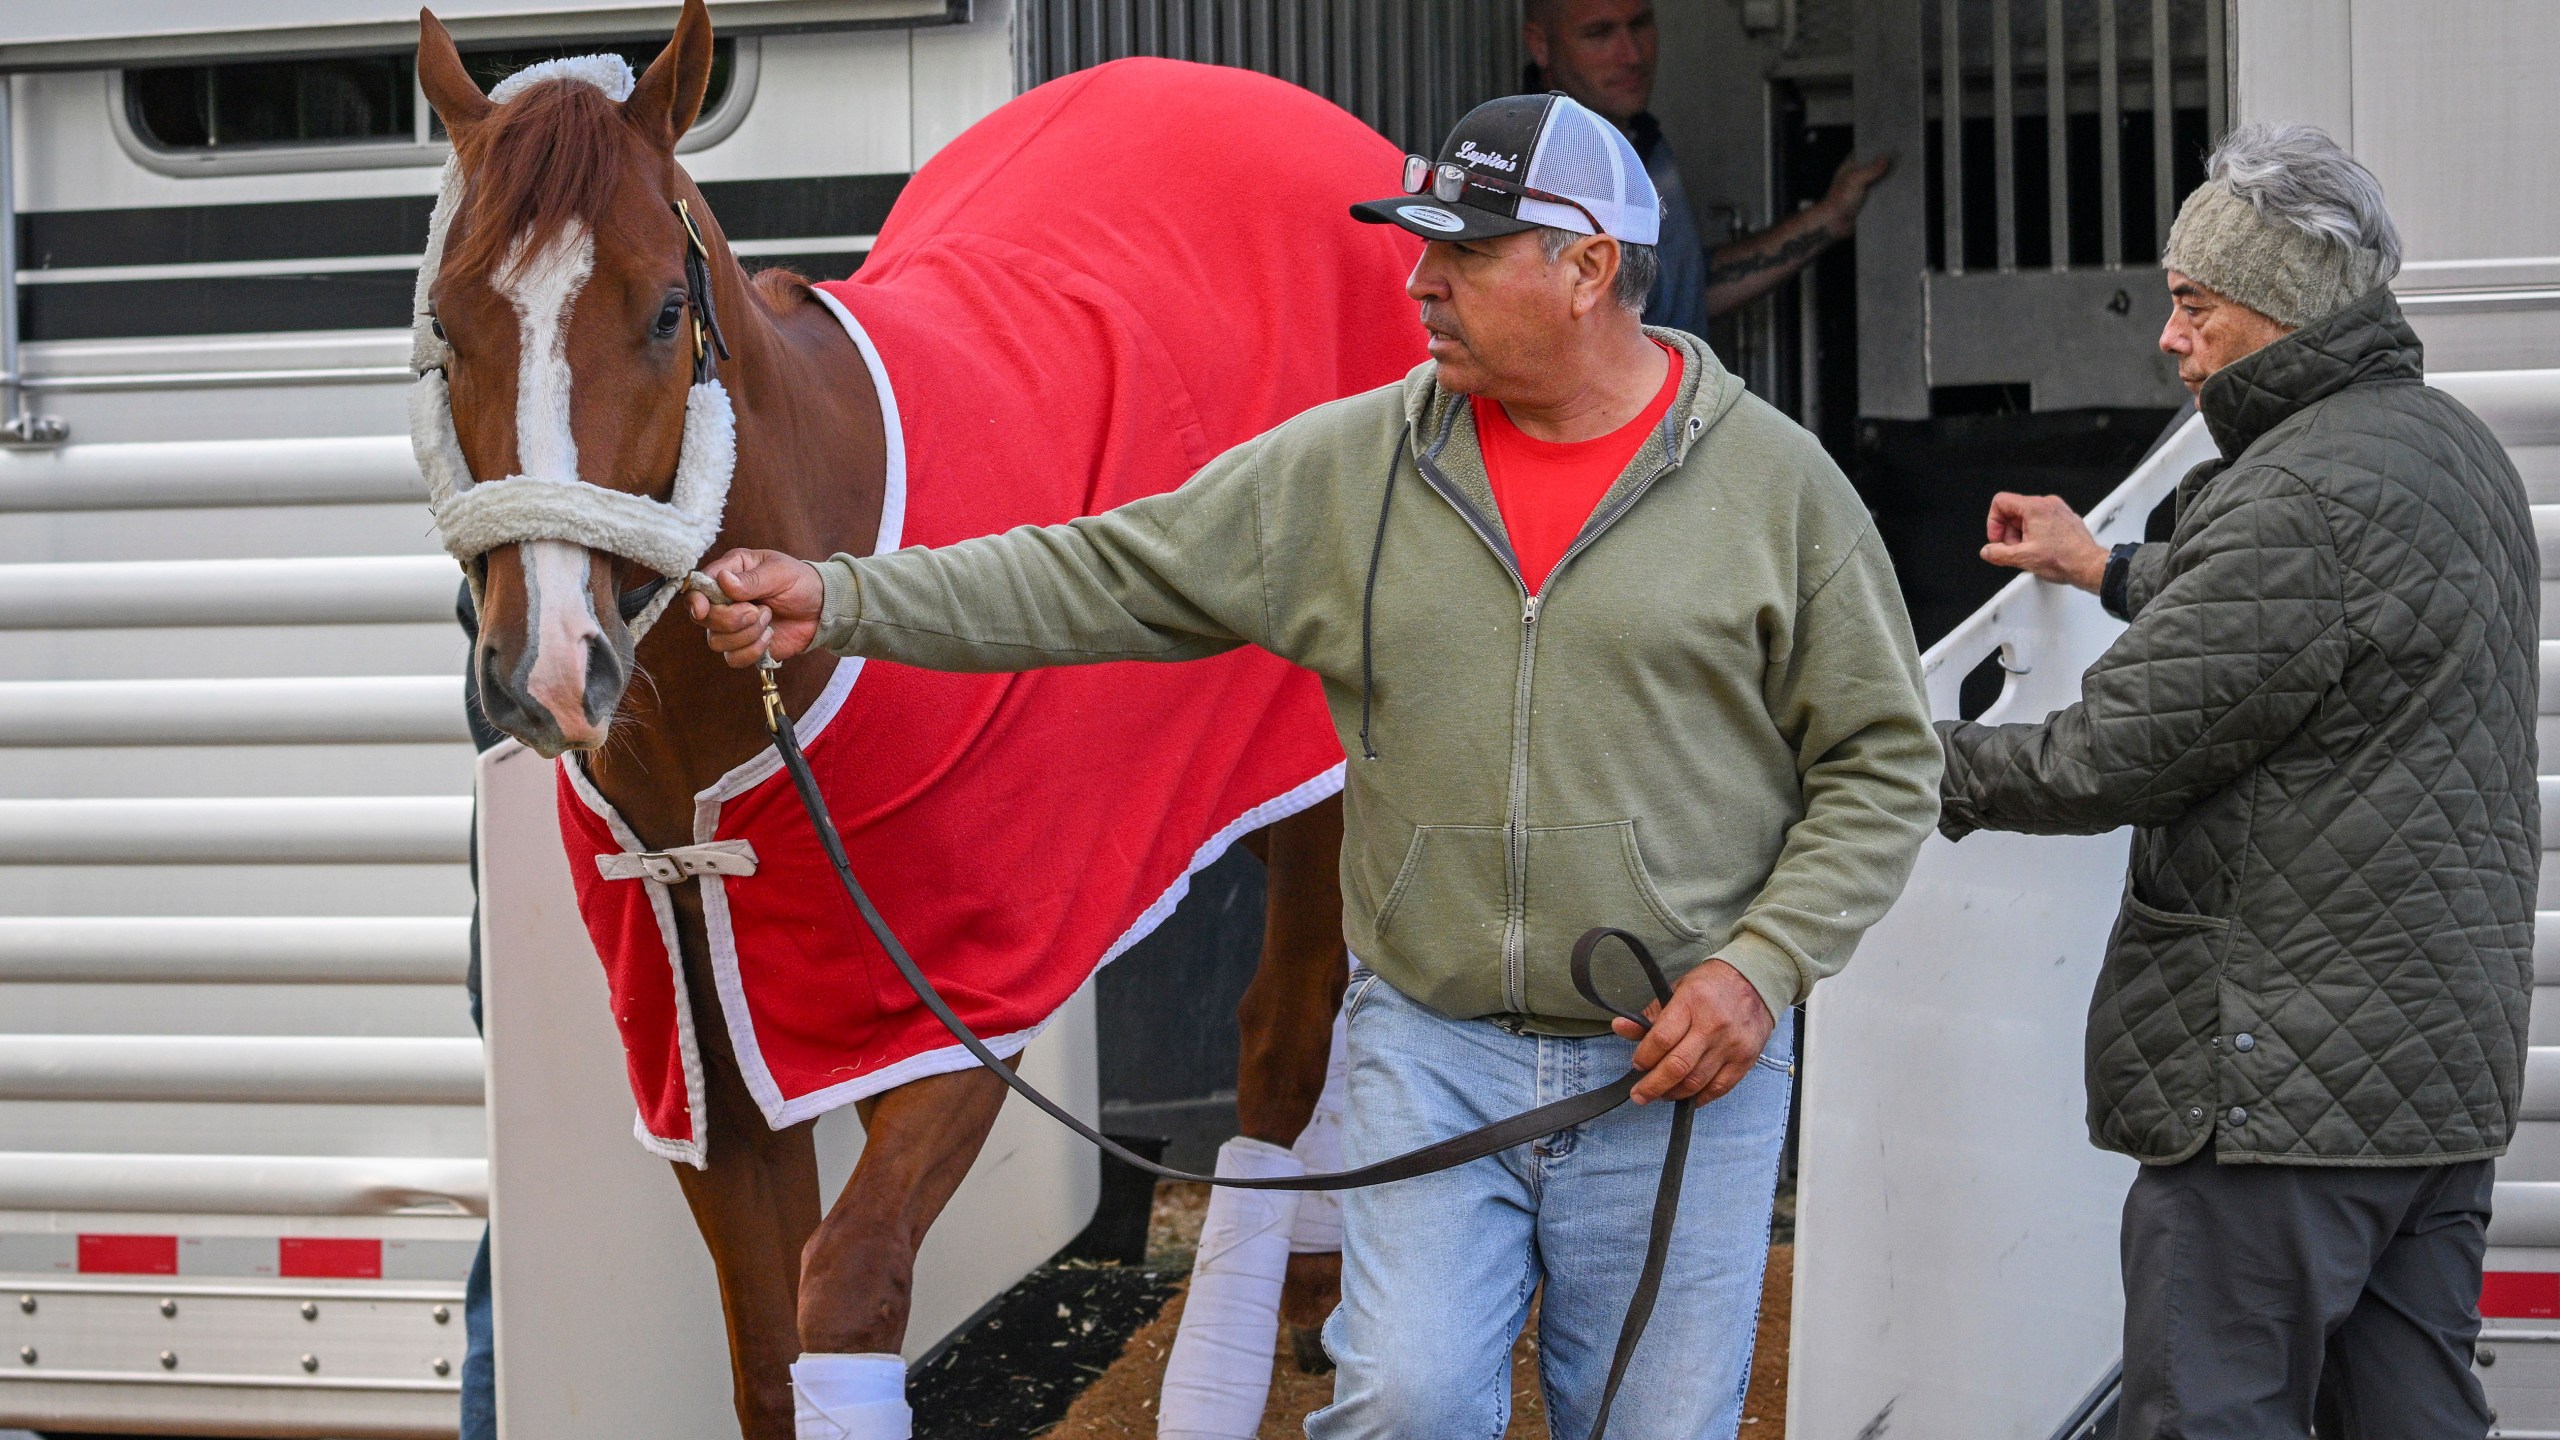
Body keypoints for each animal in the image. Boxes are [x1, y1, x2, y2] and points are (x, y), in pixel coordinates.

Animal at [424, 8, 1361, 1424]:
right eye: (445, 318)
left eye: (662, 310)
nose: (549, 668)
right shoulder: (713, 1054)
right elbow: (768, 1353)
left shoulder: (948, 1011)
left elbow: (850, 1281)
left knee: (1292, 1028)